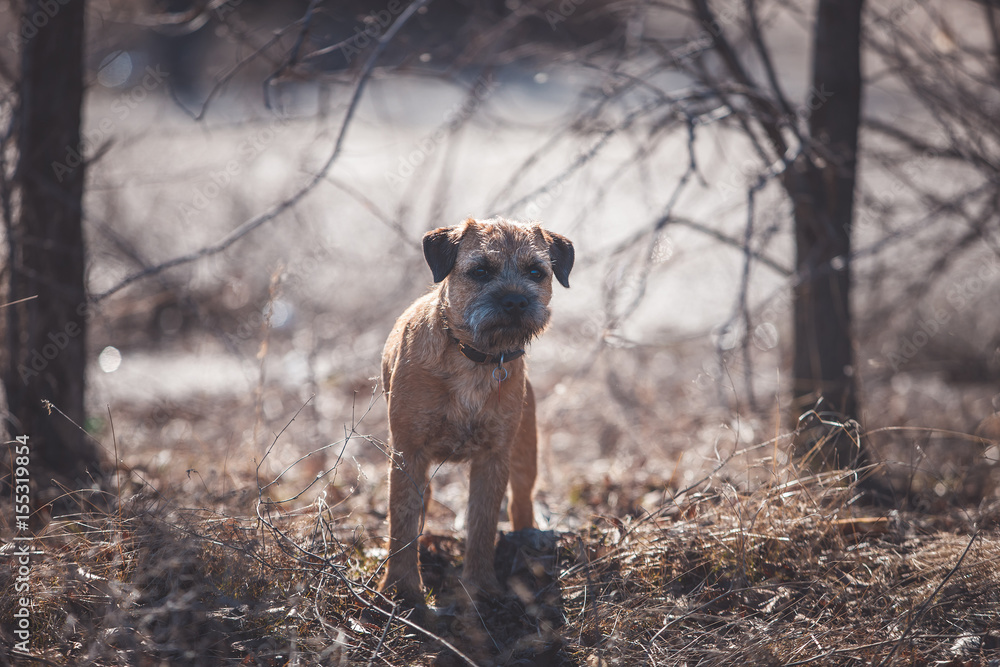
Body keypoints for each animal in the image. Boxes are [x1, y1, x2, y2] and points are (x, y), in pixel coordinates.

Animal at [378, 215, 576, 604]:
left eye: (536, 271)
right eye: (481, 270)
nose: (515, 300)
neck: (473, 357)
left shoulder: (493, 456)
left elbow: (482, 522)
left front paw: (481, 587)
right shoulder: (409, 452)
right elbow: (403, 518)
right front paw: (401, 587)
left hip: (524, 453)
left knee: (520, 502)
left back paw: (527, 543)